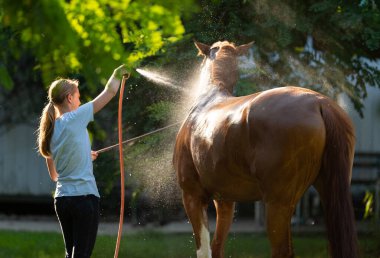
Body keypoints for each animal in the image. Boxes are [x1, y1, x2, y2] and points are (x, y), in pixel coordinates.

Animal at [174, 41, 358, 256]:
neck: (210, 98)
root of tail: (320, 103)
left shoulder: (192, 196)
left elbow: (204, 250)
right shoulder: (225, 201)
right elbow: (217, 247)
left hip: (277, 204)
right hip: (326, 194)